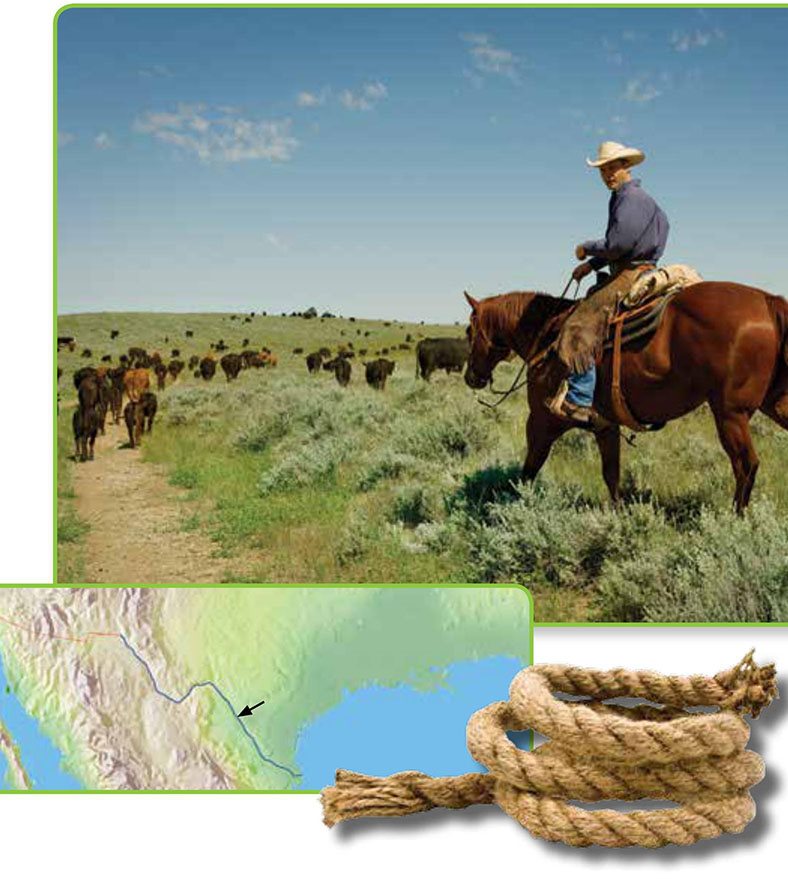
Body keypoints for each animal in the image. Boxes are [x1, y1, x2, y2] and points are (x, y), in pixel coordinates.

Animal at [464, 286, 788, 512]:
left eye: (469, 331)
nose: (471, 377)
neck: (546, 337)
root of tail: (768, 300)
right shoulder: (605, 426)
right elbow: (611, 474)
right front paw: (618, 514)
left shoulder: (542, 422)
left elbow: (529, 470)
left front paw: (513, 507)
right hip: (773, 405)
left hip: (730, 413)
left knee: (746, 466)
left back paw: (736, 519)